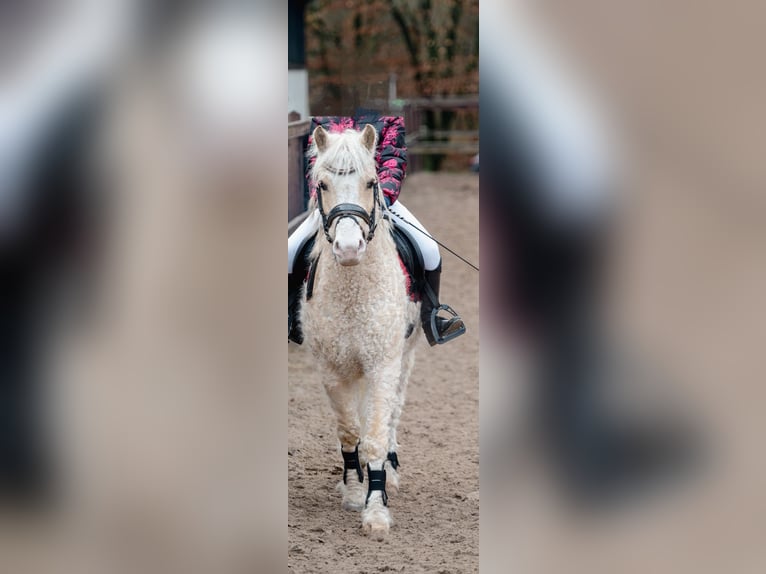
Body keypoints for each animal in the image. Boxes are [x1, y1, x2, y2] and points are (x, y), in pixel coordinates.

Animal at [299, 124, 421, 538]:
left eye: (372, 182)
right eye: (321, 184)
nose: (349, 249)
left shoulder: (383, 364)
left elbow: (376, 438)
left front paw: (377, 511)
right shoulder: (332, 370)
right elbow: (351, 434)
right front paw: (354, 491)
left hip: (405, 355)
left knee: (393, 412)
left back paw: (392, 473)